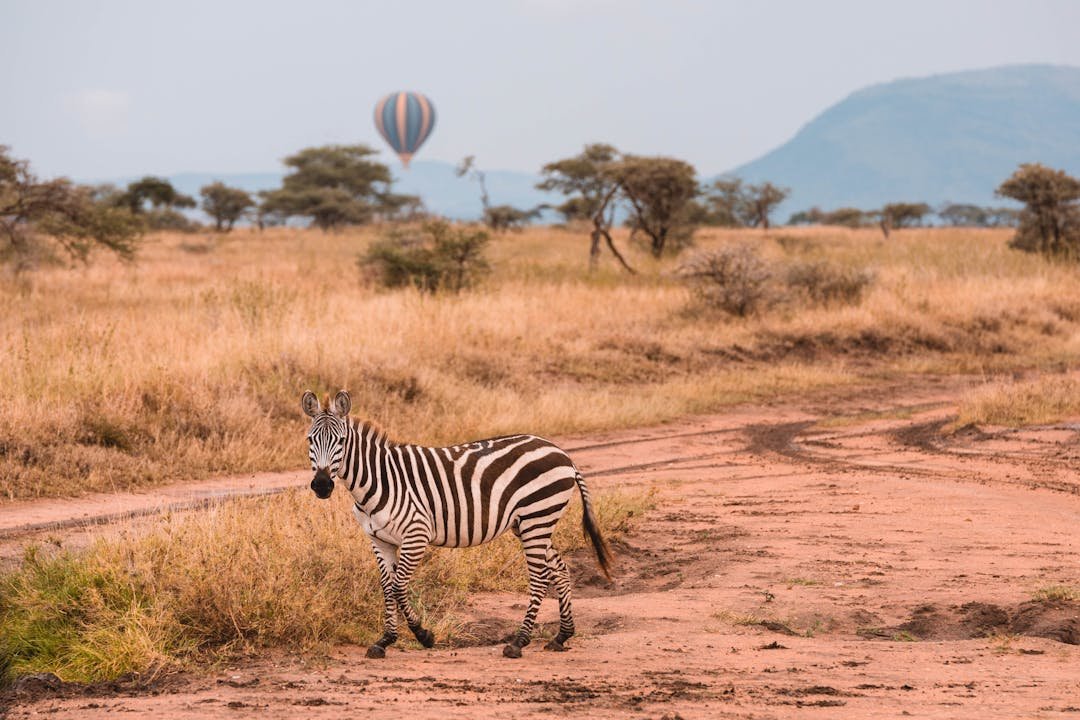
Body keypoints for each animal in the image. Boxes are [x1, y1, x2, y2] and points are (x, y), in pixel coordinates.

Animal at [304, 388, 613, 660]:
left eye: (341, 441)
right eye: (309, 440)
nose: (321, 485)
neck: (379, 479)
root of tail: (562, 454)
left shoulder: (416, 534)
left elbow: (399, 586)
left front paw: (423, 635)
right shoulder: (379, 540)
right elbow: (387, 587)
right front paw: (385, 641)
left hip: (537, 518)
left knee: (539, 577)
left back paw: (518, 642)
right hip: (531, 523)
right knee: (560, 569)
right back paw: (561, 636)